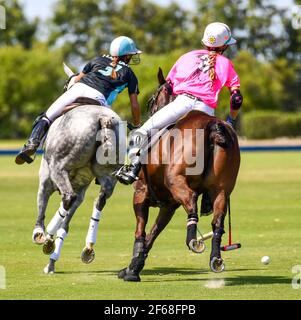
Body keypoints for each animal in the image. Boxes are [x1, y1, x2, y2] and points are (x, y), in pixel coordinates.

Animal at [30, 104, 124, 274]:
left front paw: (40, 234)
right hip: (109, 175)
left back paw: (48, 237)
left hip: (59, 166)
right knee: (99, 201)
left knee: (68, 197)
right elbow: (64, 225)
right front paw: (51, 261)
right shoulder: (80, 190)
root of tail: (103, 119)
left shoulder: (45, 180)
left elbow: (42, 206)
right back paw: (88, 247)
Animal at [117, 69, 239, 282]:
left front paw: (132, 270)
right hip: (222, 188)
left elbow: (141, 231)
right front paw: (134, 267)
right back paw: (215, 259)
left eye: (151, 100)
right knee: (218, 220)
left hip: (175, 180)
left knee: (191, 200)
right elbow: (151, 235)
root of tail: (213, 126)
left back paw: (194, 240)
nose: (151, 110)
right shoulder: (169, 205)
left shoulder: (141, 192)